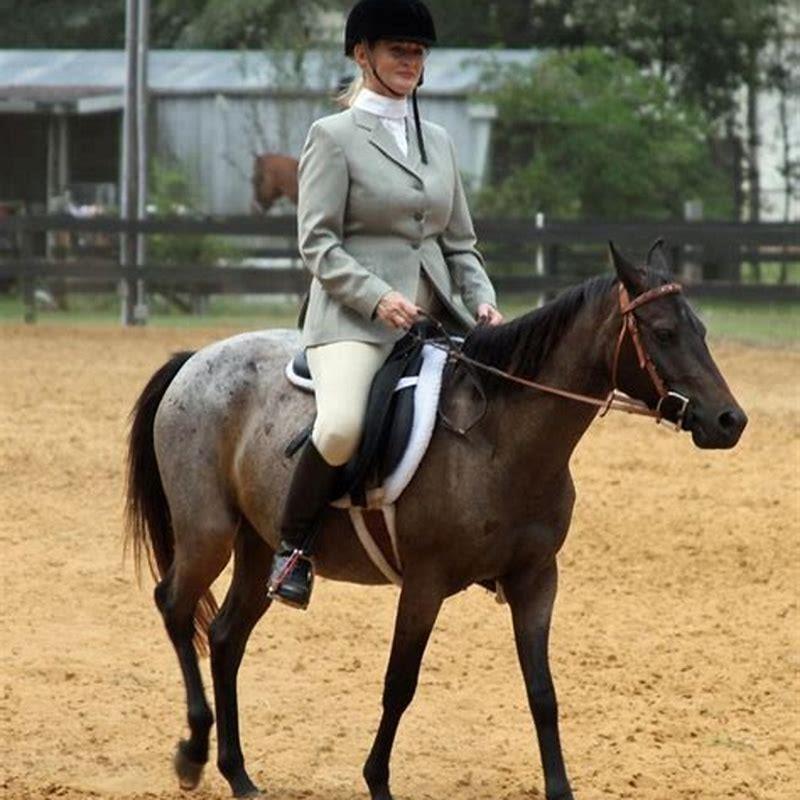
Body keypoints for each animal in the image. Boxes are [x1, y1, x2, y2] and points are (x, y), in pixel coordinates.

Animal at [125, 242, 747, 800]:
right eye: (662, 332)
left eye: (702, 331)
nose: (729, 421)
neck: (499, 441)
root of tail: (196, 359)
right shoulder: (425, 584)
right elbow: (399, 684)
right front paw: (377, 782)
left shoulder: (536, 579)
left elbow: (542, 692)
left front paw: (560, 789)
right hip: (208, 534)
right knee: (174, 607)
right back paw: (193, 754)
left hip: (260, 546)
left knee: (225, 636)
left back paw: (238, 774)